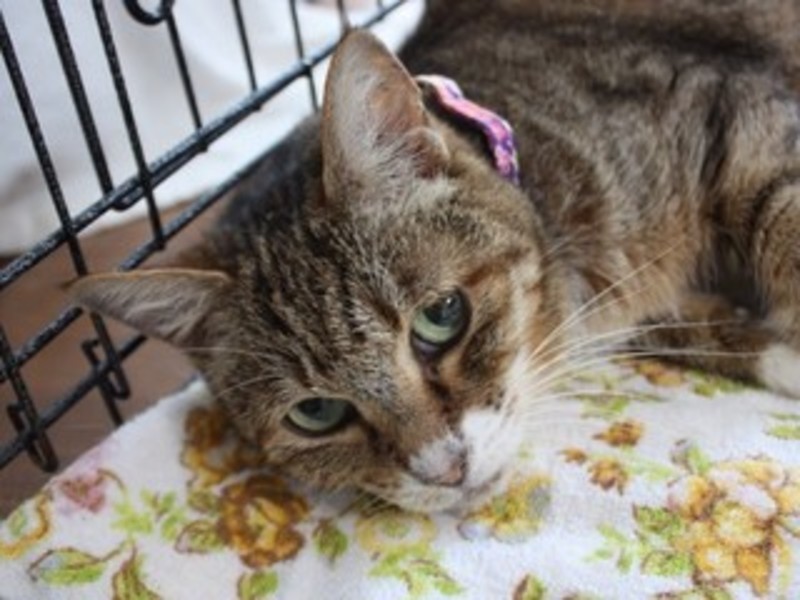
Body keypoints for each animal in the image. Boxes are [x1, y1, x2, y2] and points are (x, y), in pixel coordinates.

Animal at [72, 0, 800, 513]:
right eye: (316, 413)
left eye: (442, 316)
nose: (445, 471)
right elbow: (701, 327)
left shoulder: (737, 112)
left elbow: (783, 224)